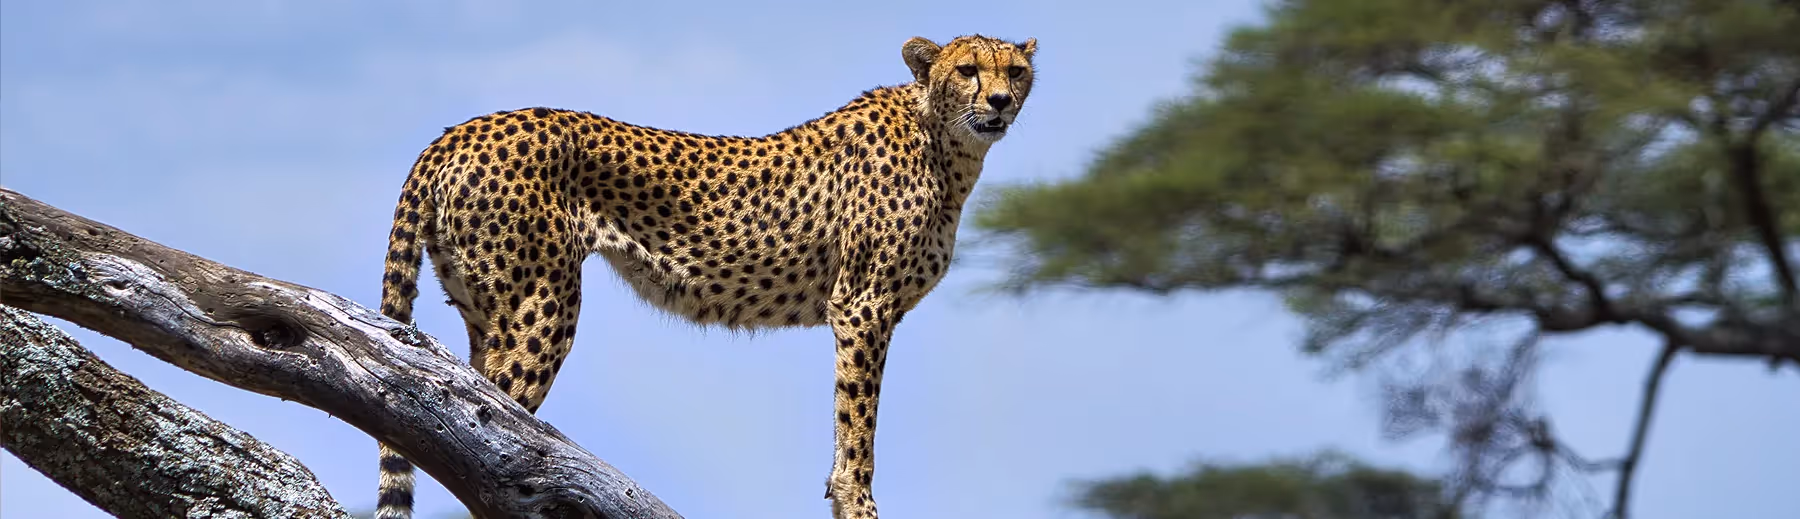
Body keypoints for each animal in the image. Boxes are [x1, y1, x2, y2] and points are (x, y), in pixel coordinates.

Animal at [373, 34, 1037, 519]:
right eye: (969, 70)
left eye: (1016, 72)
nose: (1001, 102)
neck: (946, 143)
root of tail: (458, 131)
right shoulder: (861, 305)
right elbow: (857, 428)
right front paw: (858, 501)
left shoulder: (867, 309)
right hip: (541, 306)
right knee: (488, 432)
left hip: (485, 309)